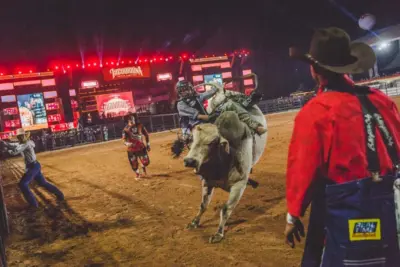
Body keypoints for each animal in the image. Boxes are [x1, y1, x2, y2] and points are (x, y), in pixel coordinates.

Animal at [184, 85, 268, 243]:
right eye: (192, 139)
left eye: (212, 142)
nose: (189, 161)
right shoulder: (207, 182)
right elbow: (203, 205)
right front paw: (194, 222)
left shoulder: (239, 185)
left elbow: (225, 209)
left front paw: (218, 233)